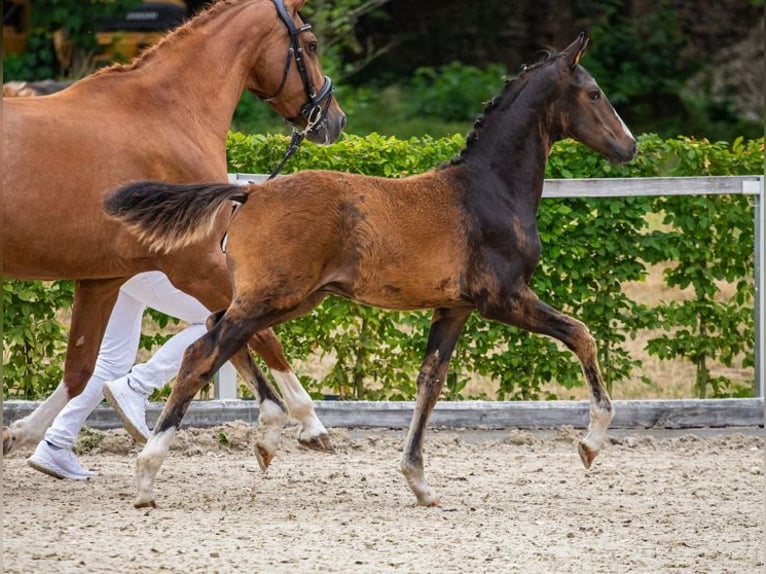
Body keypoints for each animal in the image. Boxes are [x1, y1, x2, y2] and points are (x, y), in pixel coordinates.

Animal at [2, 0, 346, 459]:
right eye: (310, 45)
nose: (335, 120)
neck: (167, 115)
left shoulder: (102, 278)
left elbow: (80, 368)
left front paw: (20, 433)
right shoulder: (196, 264)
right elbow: (262, 335)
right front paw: (310, 423)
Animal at [106, 32, 636, 508]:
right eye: (594, 93)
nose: (629, 146)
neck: (488, 190)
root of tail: (251, 192)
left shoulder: (454, 308)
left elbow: (430, 382)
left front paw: (419, 483)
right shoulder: (503, 297)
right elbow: (581, 333)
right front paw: (590, 444)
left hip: (292, 298)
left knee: (220, 330)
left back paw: (268, 436)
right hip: (273, 296)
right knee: (204, 350)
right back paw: (148, 476)